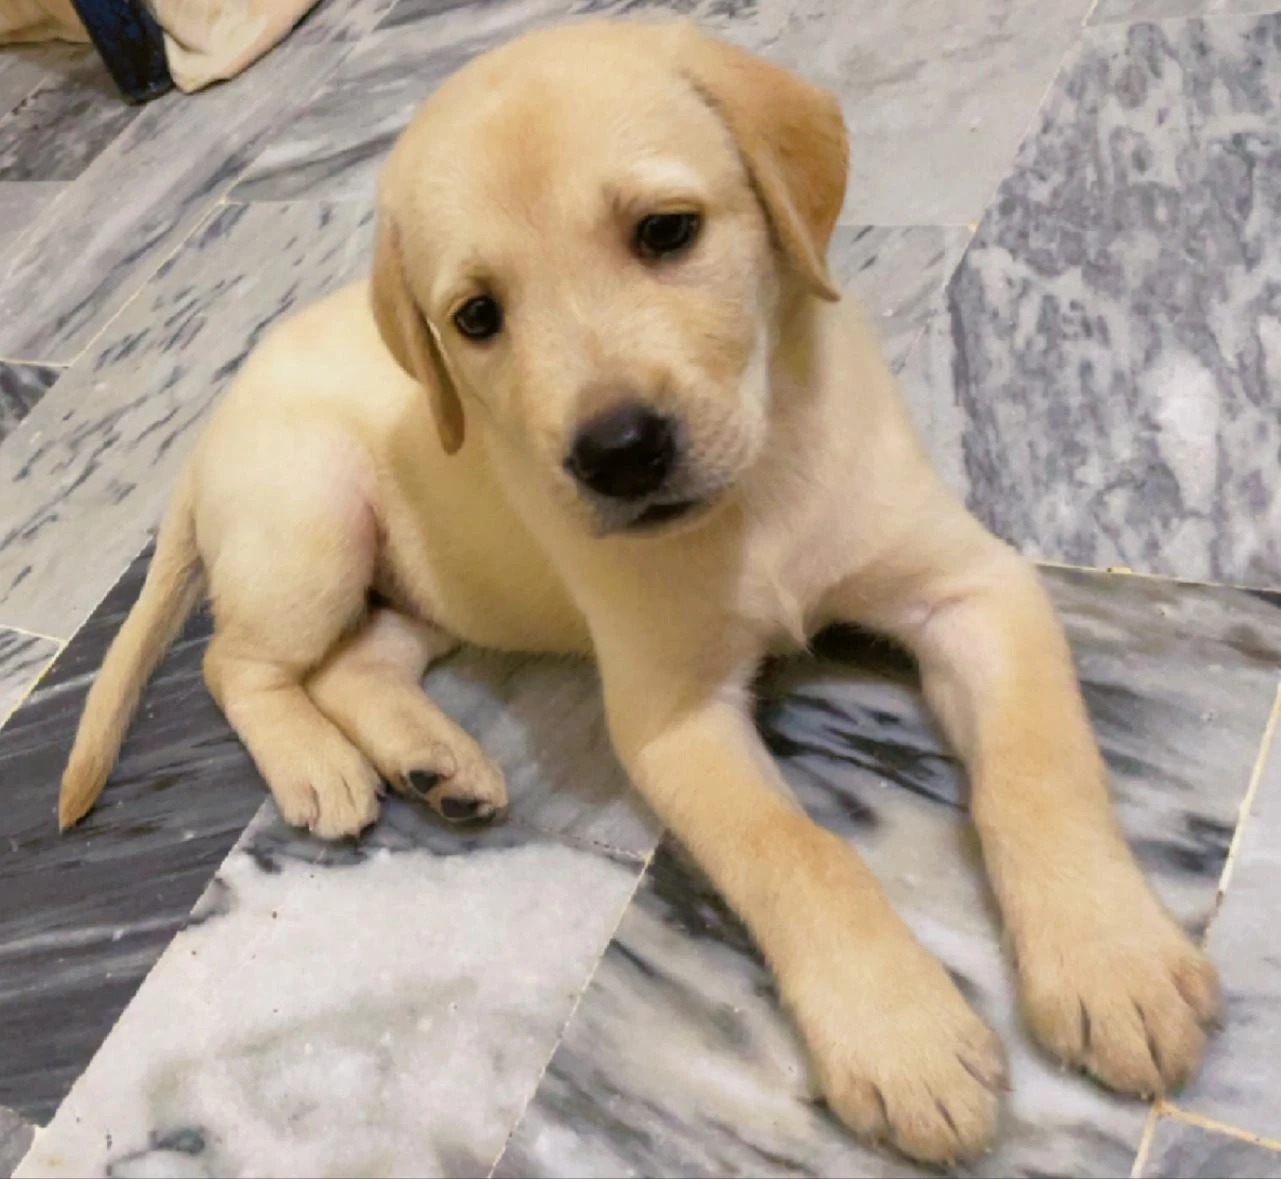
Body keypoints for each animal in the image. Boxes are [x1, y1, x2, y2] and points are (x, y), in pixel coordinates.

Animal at [62, 16, 1219, 1158]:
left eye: (666, 232)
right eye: (476, 316)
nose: (618, 453)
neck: (759, 493)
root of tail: (210, 426)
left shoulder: (974, 587)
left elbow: (1036, 767)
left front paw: (1110, 961)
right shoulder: (672, 714)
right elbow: (795, 853)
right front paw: (903, 1037)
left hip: (433, 588)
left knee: (360, 660)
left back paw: (435, 760)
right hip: (310, 524)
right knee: (237, 661)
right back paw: (316, 765)